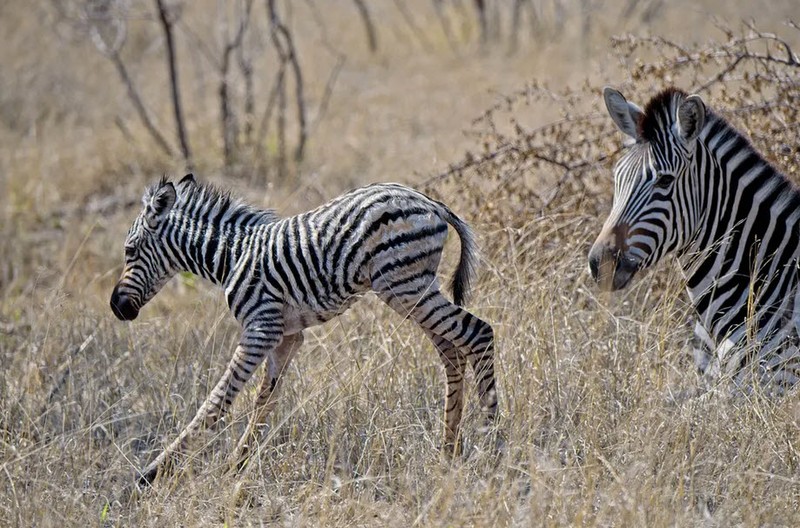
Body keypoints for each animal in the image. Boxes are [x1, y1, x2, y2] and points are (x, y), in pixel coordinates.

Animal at [111, 176, 500, 486]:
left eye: (129, 250)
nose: (116, 307)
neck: (231, 256)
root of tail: (430, 202)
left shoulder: (261, 327)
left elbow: (218, 401)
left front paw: (153, 473)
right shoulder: (286, 336)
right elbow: (264, 402)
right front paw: (237, 467)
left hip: (403, 285)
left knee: (478, 333)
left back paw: (491, 442)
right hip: (414, 290)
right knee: (452, 352)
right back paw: (448, 451)